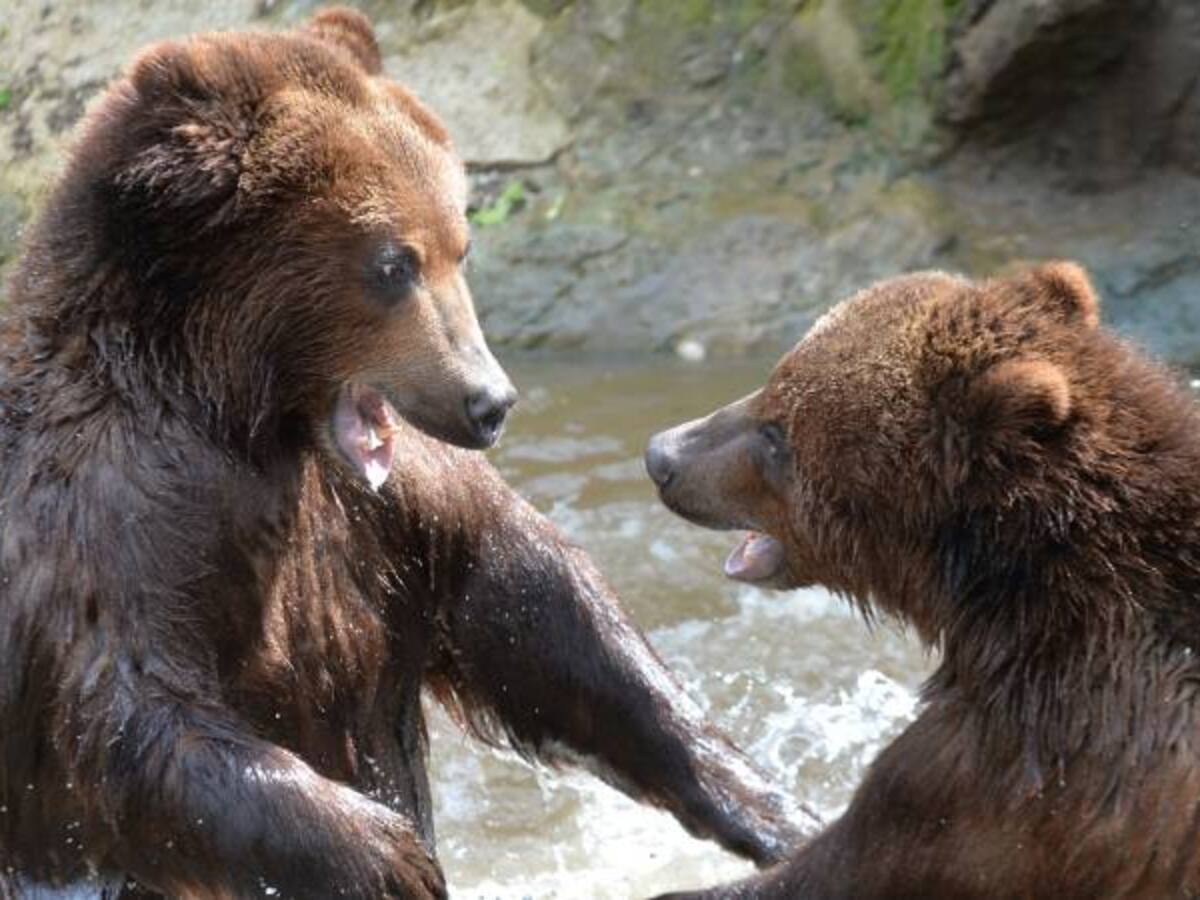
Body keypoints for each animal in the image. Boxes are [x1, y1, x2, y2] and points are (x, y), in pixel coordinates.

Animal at [0, 8, 813, 898]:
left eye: (461, 244)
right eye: (393, 262)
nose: (490, 401)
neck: (240, 411)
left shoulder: (383, 509)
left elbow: (537, 608)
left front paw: (772, 806)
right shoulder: (112, 509)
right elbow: (128, 718)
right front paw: (392, 856)